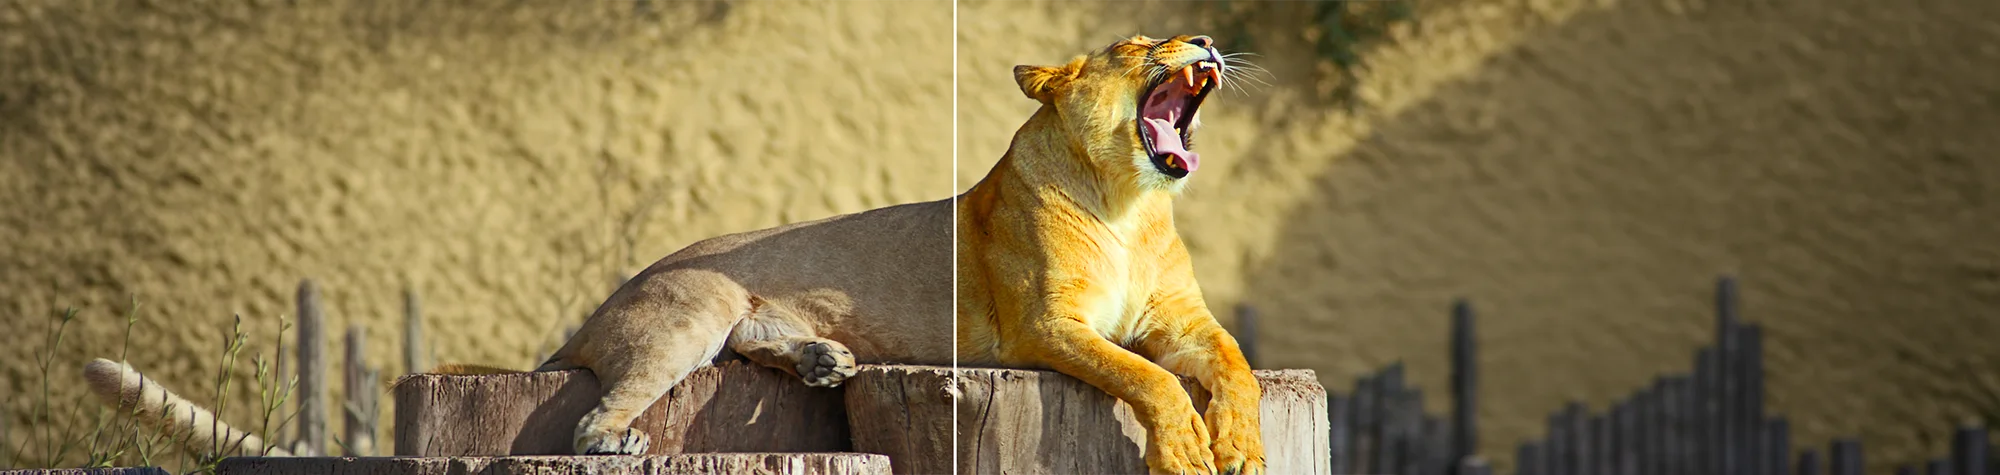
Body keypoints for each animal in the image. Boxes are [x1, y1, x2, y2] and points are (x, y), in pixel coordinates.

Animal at [955, 34, 1265, 474]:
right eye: (1129, 45)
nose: (1205, 41)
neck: (1128, 205)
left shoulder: (1183, 319)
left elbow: (1238, 365)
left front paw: (1242, 448)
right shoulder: (1044, 324)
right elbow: (1143, 373)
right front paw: (1184, 452)